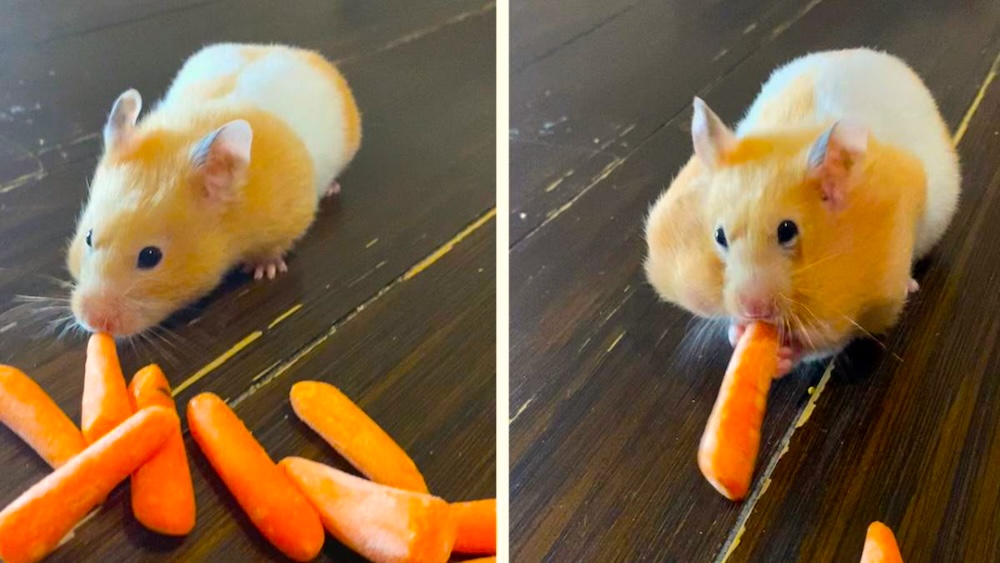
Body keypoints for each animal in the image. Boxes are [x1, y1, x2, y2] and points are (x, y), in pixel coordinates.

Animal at [67, 43, 362, 337]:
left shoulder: (291, 213)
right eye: (88, 237)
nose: (92, 321)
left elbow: (275, 247)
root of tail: (293, 50)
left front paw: (263, 271)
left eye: (150, 256)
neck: (229, 233)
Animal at [645, 49, 959, 374]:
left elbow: (830, 340)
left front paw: (784, 356)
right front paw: (739, 332)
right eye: (719, 236)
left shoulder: (866, 297)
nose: (754, 310)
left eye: (787, 230)